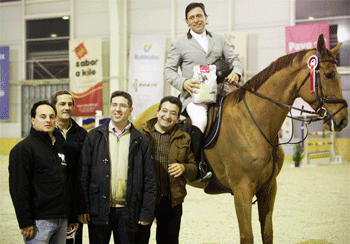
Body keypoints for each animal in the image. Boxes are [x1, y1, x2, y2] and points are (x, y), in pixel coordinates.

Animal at [133, 34, 348, 244]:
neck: (254, 122)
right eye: (329, 74)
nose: (342, 119)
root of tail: (139, 117)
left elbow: (267, 233)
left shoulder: (269, 188)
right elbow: (247, 236)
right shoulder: (242, 189)